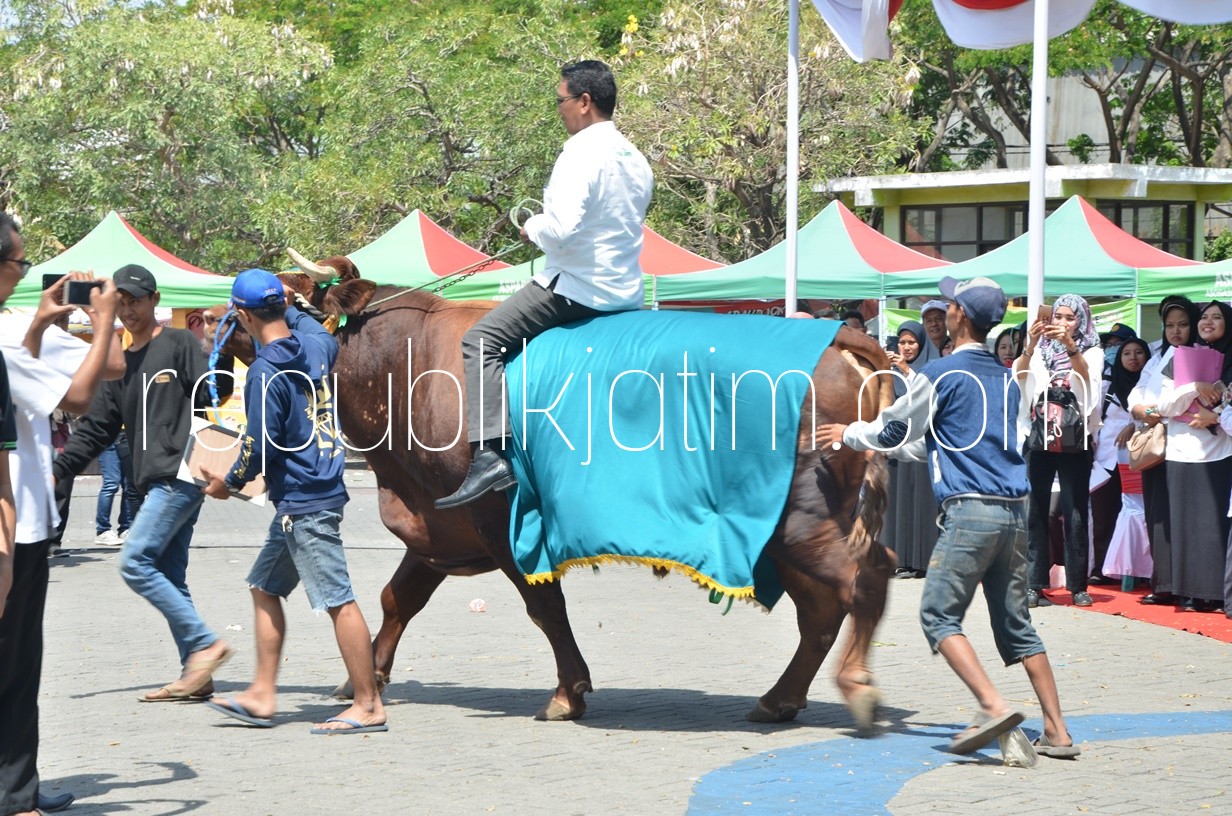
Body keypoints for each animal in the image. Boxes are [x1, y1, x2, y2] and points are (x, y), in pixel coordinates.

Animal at [202, 253, 896, 729]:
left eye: (280, 293)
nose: (209, 313)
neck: (406, 367)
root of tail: (837, 334)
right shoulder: (437, 528)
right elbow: (398, 599)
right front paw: (363, 678)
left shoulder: (500, 518)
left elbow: (545, 607)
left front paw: (568, 692)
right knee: (832, 603)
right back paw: (782, 698)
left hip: (800, 521)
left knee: (857, 583)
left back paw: (853, 686)